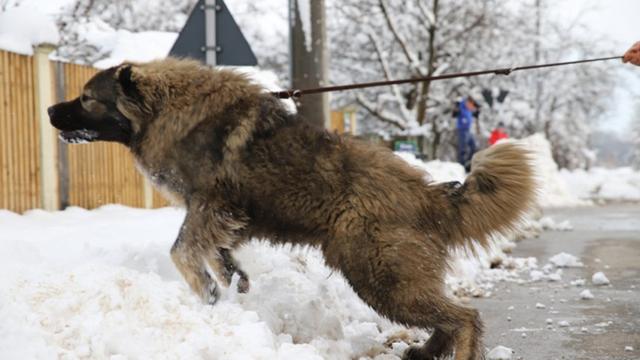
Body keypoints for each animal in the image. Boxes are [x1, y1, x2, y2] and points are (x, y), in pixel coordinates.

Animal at [50, 57, 536, 358]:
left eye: (88, 98)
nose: (53, 110)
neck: (167, 108)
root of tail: (430, 193)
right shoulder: (222, 214)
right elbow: (218, 252)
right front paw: (233, 282)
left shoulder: (209, 203)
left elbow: (183, 250)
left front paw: (208, 292)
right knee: (449, 317)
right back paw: (426, 350)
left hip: (379, 275)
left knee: (465, 317)